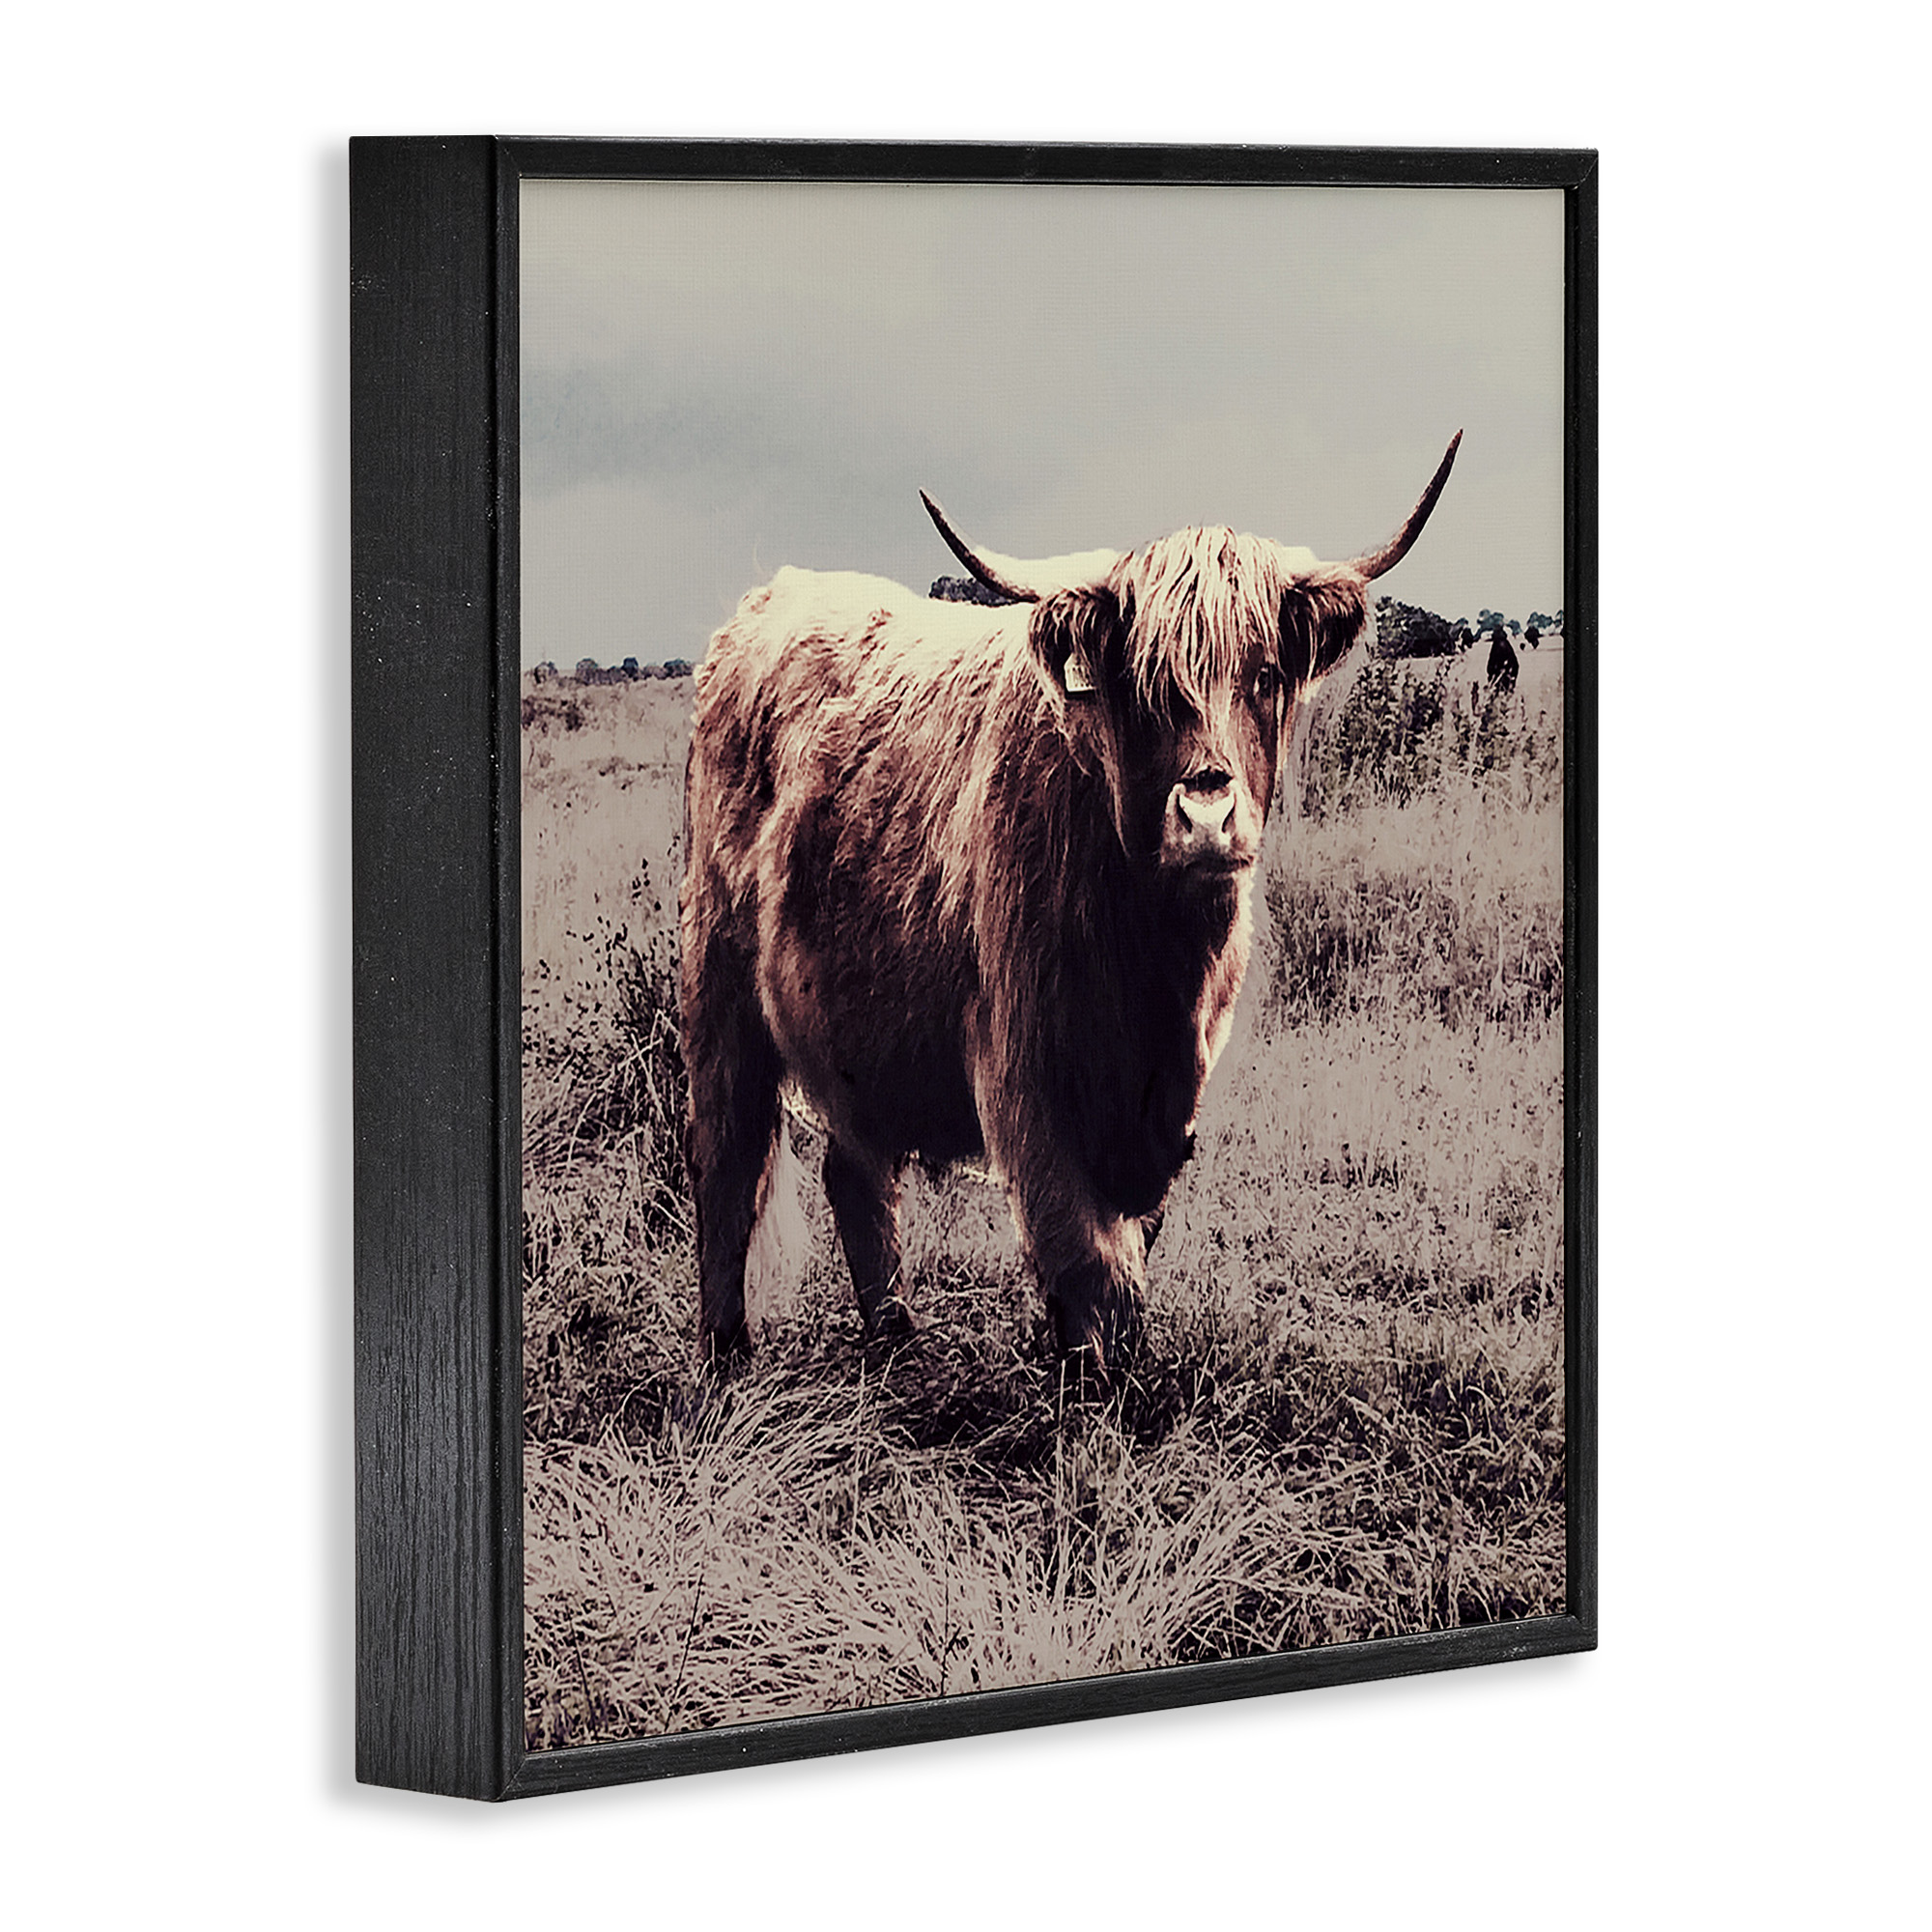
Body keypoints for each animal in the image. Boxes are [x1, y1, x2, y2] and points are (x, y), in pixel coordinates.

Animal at [680, 434, 1461, 1377]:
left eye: (1267, 674)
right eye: (1143, 684)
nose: (1207, 815)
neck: (1155, 963)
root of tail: (770, 598)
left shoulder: (1168, 1102)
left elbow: (1127, 1249)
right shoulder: (1027, 1076)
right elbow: (1088, 1262)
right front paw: (1094, 1392)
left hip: (852, 1024)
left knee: (855, 1174)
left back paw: (898, 1344)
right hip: (720, 993)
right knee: (727, 1166)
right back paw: (726, 1357)